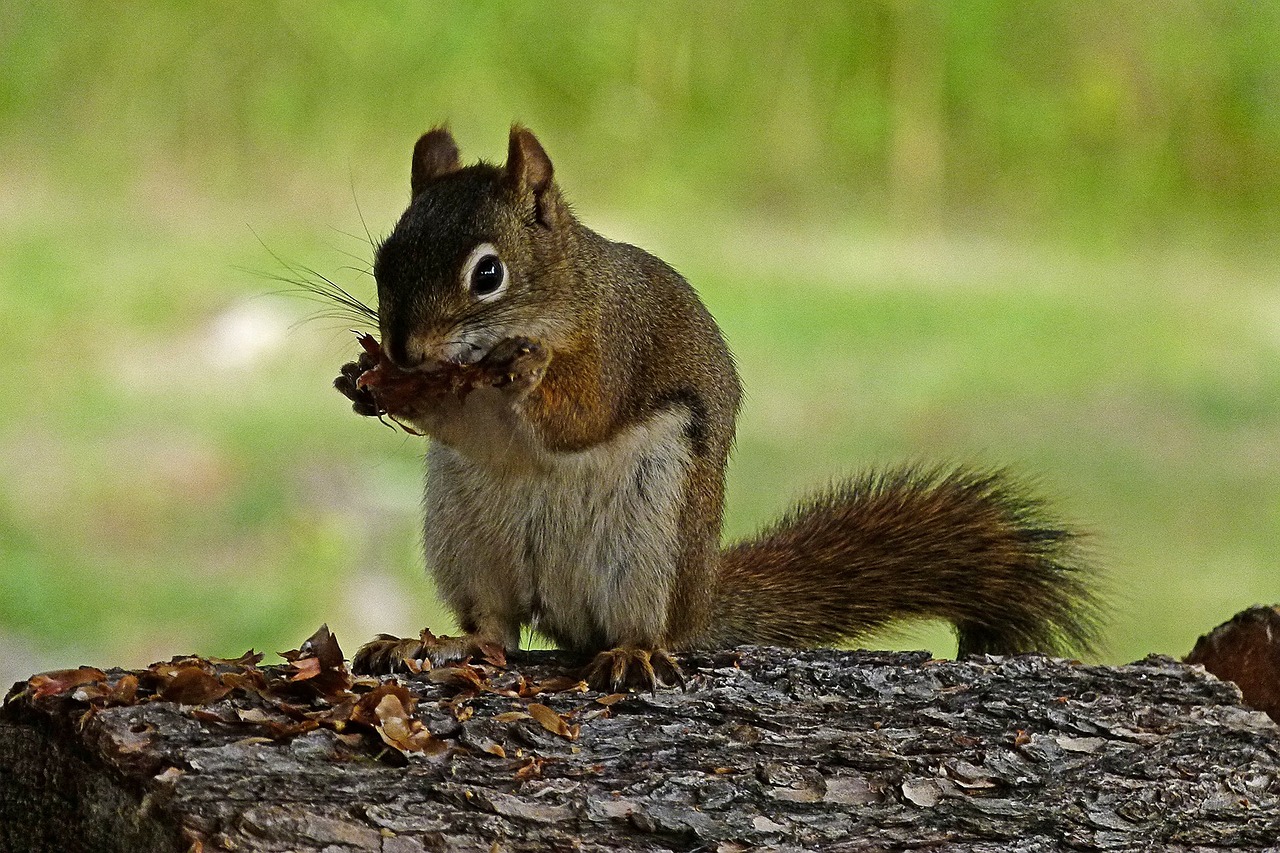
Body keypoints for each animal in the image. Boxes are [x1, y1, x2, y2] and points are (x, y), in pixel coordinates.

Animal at [335, 122, 1105, 686]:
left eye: (488, 273)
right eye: (382, 261)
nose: (403, 348)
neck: (564, 294)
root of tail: (700, 597)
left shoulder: (618, 344)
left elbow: (581, 415)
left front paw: (523, 371)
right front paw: (360, 380)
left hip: (651, 540)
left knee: (641, 626)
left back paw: (632, 651)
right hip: (467, 539)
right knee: (494, 629)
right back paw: (440, 644)